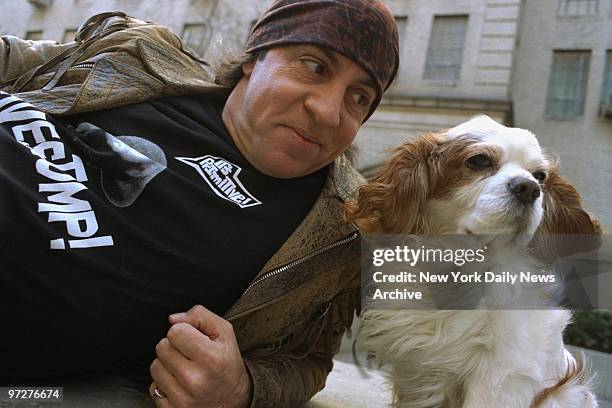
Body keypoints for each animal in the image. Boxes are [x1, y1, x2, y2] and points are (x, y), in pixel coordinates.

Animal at [344, 115, 604, 408]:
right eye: (479, 161)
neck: (460, 270)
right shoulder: (418, 371)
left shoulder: (500, 373)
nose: (529, 188)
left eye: (540, 176)